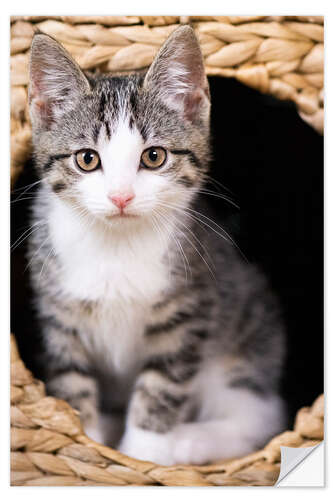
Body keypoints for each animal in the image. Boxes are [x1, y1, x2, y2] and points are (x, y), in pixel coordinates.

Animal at [27, 26, 286, 464]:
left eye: (153, 156)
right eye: (86, 159)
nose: (121, 197)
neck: (116, 245)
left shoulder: (190, 305)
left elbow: (162, 385)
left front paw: (145, 453)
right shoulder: (59, 315)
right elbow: (73, 381)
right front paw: (88, 442)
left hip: (246, 336)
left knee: (259, 415)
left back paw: (190, 442)